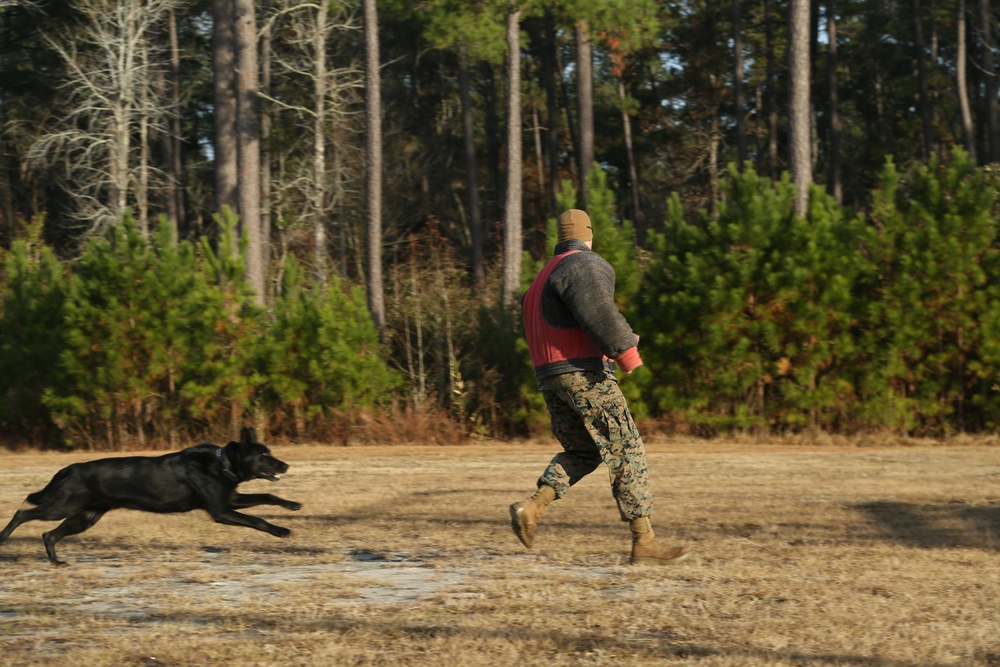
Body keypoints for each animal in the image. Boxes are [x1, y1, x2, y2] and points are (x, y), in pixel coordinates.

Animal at [0, 428, 300, 564]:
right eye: (264, 455)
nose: (286, 465)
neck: (222, 462)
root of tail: (69, 468)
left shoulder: (229, 501)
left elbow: (268, 494)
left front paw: (292, 504)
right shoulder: (221, 511)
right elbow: (257, 520)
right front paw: (282, 531)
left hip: (84, 517)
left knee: (49, 534)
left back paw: (56, 561)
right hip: (62, 506)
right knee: (22, 512)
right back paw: (3, 538)